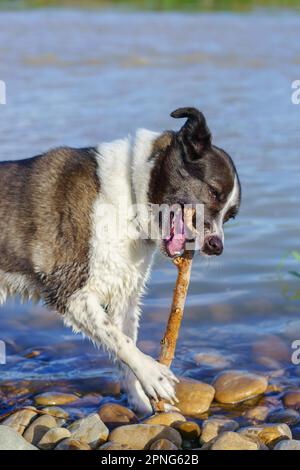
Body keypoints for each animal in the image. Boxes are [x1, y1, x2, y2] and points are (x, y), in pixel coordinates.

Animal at [0, 107, 240, 414]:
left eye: (230, 215)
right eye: (212, 192)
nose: (216, 246)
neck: (131, 193)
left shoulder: (124, 296)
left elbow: (124, 345)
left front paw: (140, 403)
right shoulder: (70, 293)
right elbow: (121, 341)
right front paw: (153, 375)